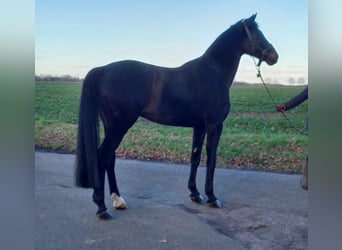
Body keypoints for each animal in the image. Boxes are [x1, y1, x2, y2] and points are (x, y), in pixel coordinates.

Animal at [75, 14, 278, 220]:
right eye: (257, 34)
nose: (274, 56)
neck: (213, 72)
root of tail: (103, 70)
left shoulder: (200, 126)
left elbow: (195, 157)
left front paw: (195, 194)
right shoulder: (214, 125)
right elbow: (211, 160)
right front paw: (212, 197)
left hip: (111, 126)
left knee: (110, 159)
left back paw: (118, 200)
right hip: (119, 126)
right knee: (102, 158)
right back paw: (102, 208)